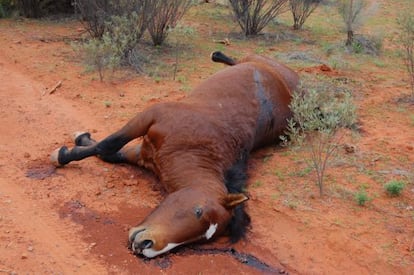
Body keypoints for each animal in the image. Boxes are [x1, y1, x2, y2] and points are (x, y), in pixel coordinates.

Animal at [50, 51, 300, 258]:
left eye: (202, 240)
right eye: (198, 211)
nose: (146, 246)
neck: (197, 146)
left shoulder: (144, 154)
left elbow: (109, 152)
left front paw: (79, 142)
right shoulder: (150, 116)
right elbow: (107, 146)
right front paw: (65, 153)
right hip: (254, 59)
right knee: (239, 59)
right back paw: (218, 55)